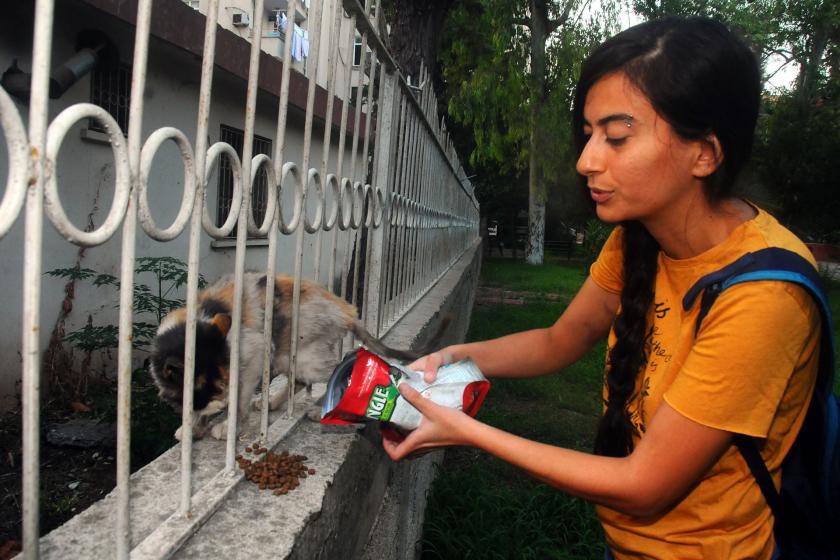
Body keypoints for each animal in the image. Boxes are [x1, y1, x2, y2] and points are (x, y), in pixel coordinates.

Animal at [149, 272, 434, 442]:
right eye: (209, 388)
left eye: (220, 386)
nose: (222, 403)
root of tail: (346, 309)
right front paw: (193, 426)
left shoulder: (252, 353)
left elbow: (239, 399)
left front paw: (229, 425)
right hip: (285, 354)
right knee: (298, 379)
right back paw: (273, 402)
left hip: (304, 355)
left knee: (345, 365)